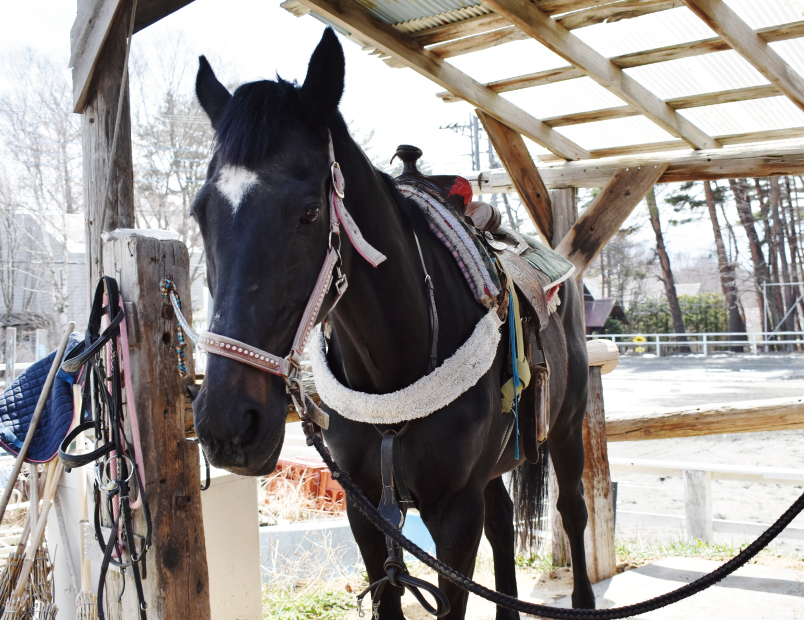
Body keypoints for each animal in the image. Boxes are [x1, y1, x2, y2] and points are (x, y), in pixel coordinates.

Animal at [188, 27, 592, 616]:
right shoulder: (366, 510)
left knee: (573, 510)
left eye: (309, 212)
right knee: (501, 523)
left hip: (566, 424)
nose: (228, 422)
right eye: (200, 213)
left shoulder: (454, 510)